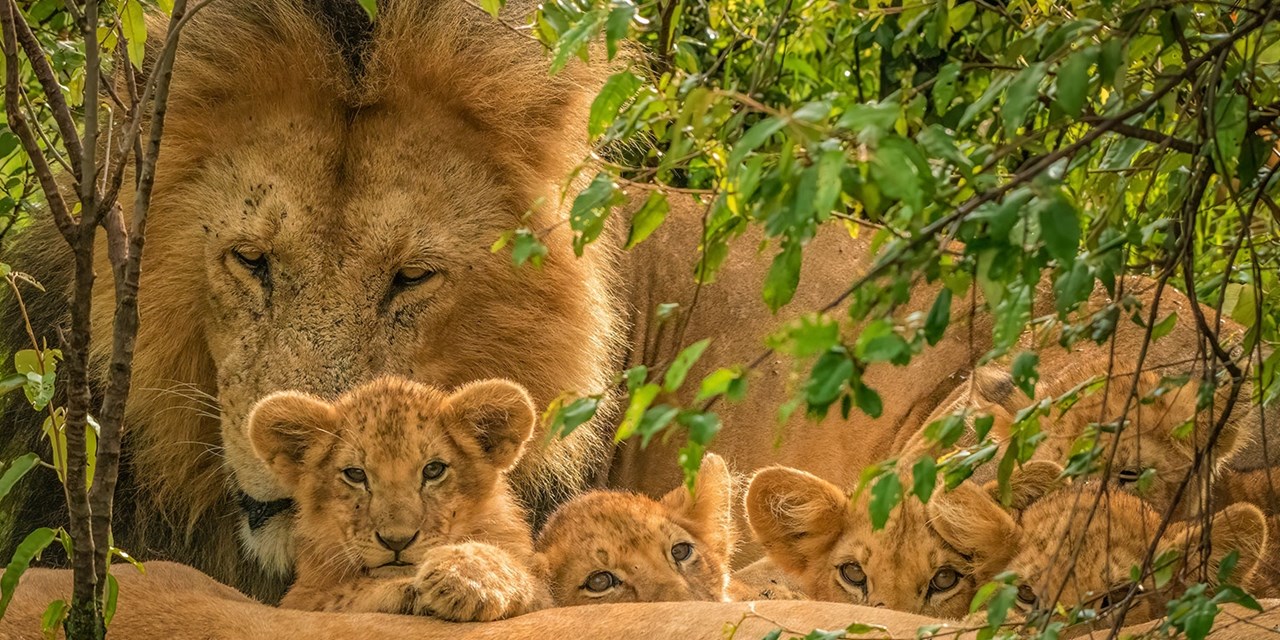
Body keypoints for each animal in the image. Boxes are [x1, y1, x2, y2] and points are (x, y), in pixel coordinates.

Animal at [248, 376, 549, 621]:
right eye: (355, 474)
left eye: (433, 469)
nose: (397, 541)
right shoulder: (299, 599)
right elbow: (348, 594)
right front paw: (415, 588)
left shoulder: (541, 593)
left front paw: (465, 578)